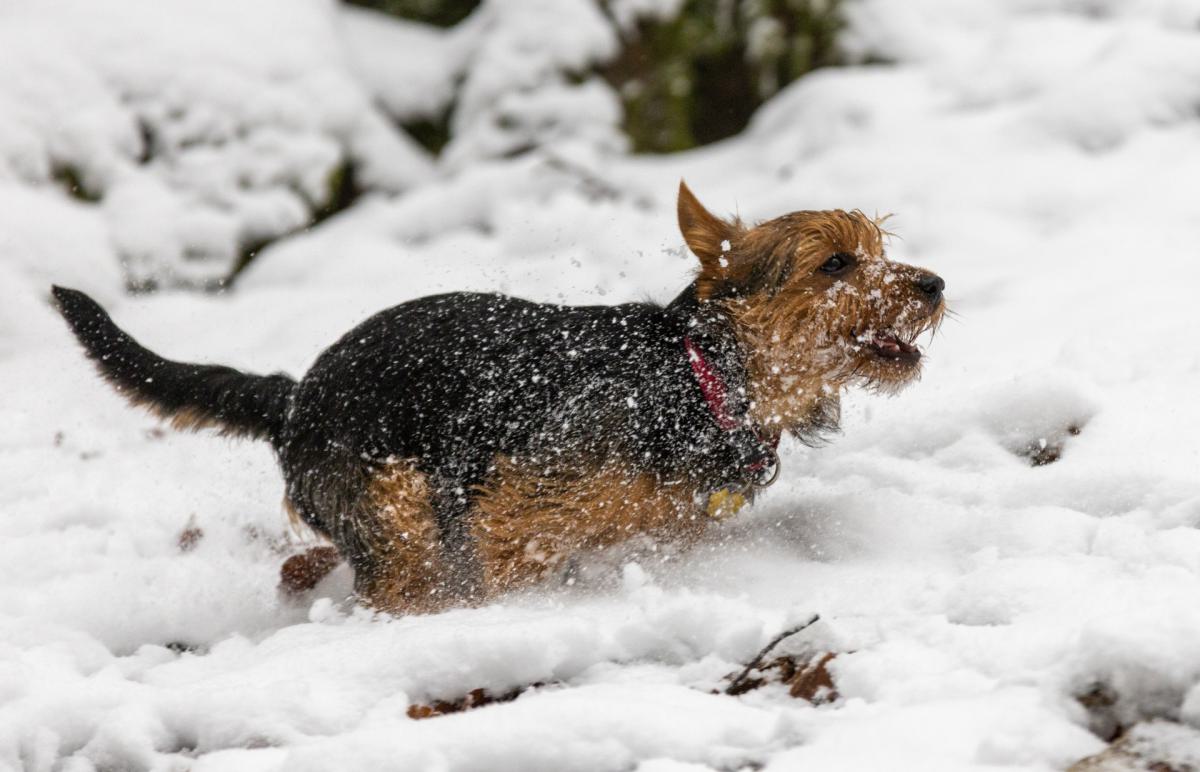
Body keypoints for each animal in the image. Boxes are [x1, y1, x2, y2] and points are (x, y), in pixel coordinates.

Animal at [52, 182, 945, 614]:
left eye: (878, 249)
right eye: (836, 263)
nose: (934, 284)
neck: (698, 376)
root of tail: (294, 396)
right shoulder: (509, 514)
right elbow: (510, 564)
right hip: (400, 508)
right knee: (397, 586)